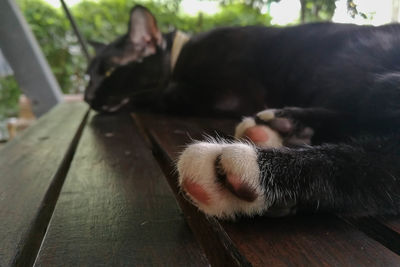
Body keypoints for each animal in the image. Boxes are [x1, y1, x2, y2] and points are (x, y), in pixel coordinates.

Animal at [85, 5, 400, 220]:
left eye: (110, 71)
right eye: (88, 74)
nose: (87, 96)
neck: (178, 54)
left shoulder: (224, 92)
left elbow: (158, 94)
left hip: (351, 61)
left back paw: (251, 168)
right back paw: (284, 126)